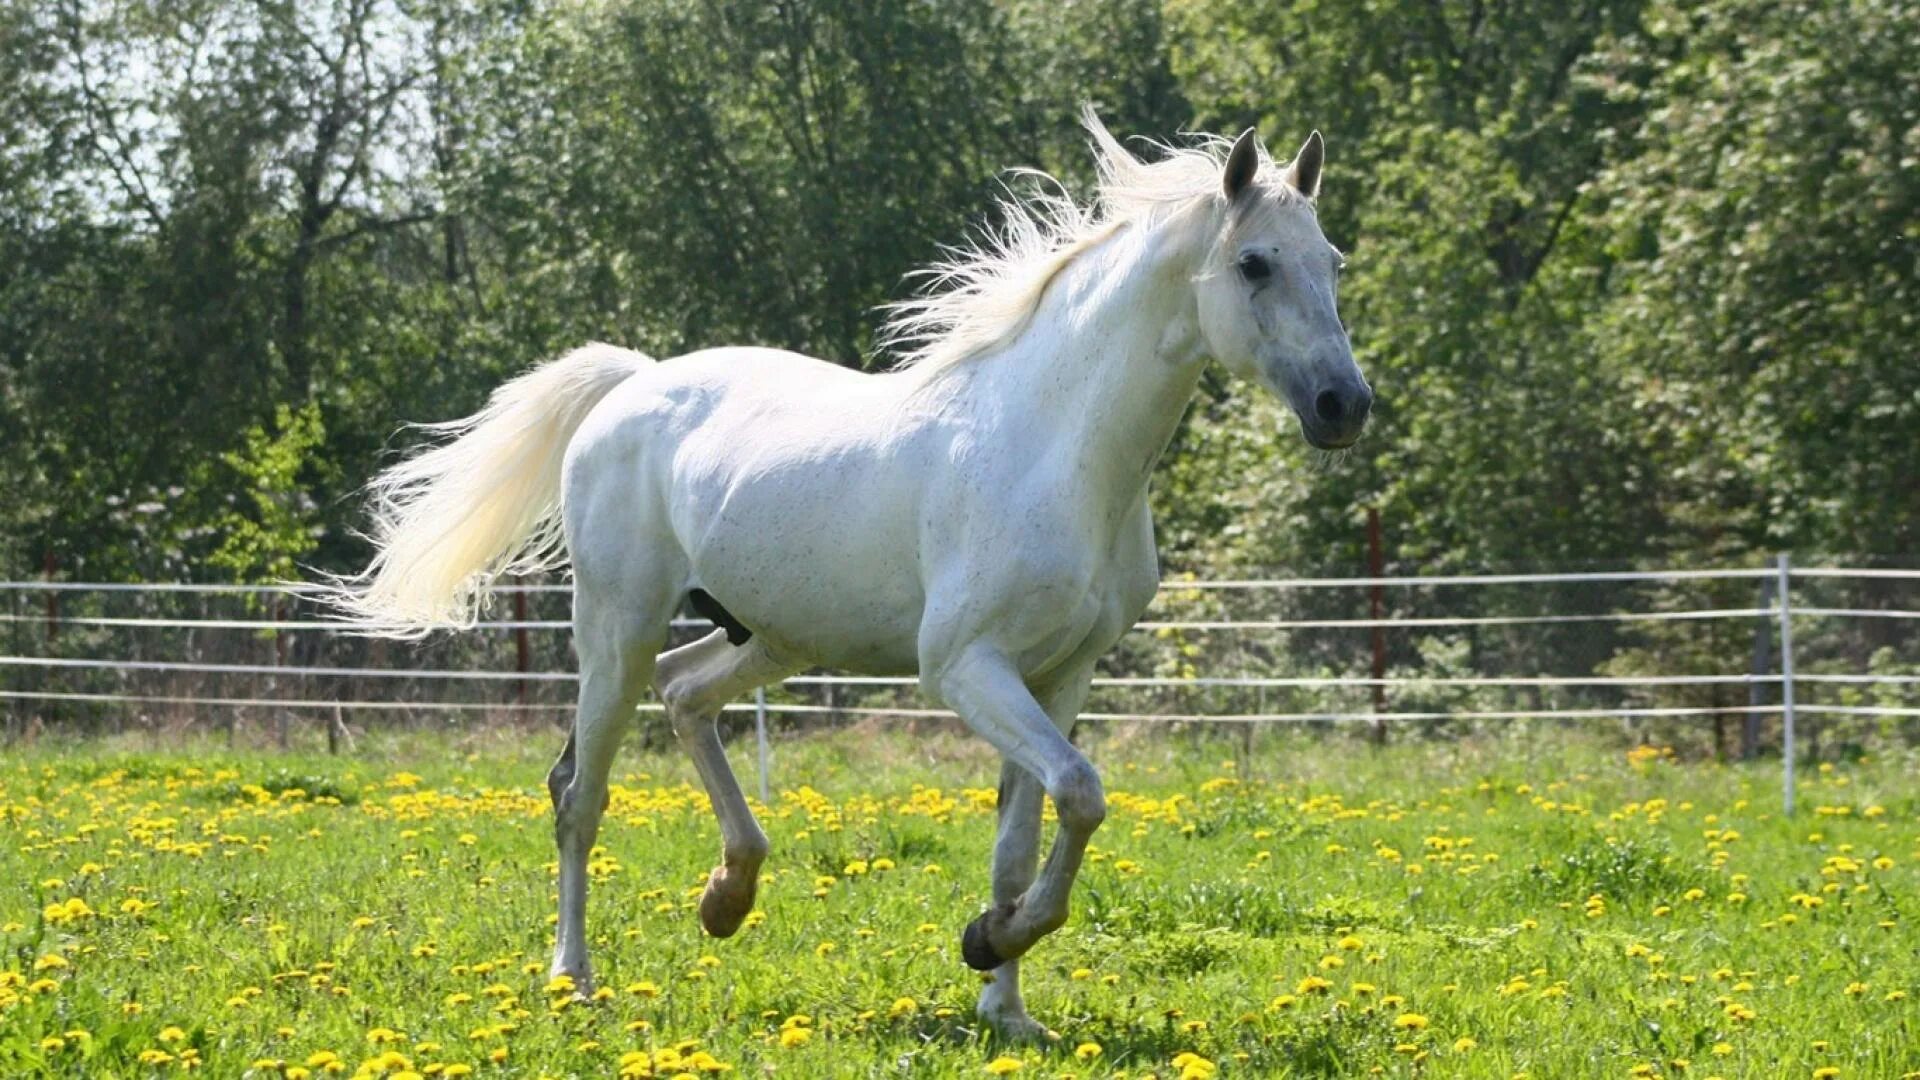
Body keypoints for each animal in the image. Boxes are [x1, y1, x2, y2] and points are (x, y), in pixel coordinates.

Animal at [337, 111, 1374, 1037]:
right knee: (579, 795)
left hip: (772, 634)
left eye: (1332, 263)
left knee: (685, 695)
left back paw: (728, 895)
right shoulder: (964, 667)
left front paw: (1005, 1003)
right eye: (1254, 263)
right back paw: (573, 979)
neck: (1055, 447)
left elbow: (1023, 837)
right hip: (615, 627)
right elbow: (1081, 794)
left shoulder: (1059, 672)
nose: (1344, 406)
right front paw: (989, 941)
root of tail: (630, 385)